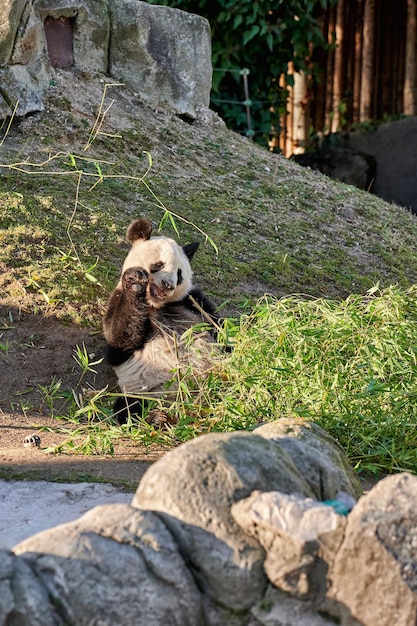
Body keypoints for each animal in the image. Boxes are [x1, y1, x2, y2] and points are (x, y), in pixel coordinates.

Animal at [102, 217, 216, 422]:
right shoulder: (116, 299)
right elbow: (117, 343)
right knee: (129, 409)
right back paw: (157, 418)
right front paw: (135, 281)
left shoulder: (194, 302)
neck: (156, 305)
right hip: (147, 392)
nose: (168, 285)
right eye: (159, 265)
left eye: (179, 274)